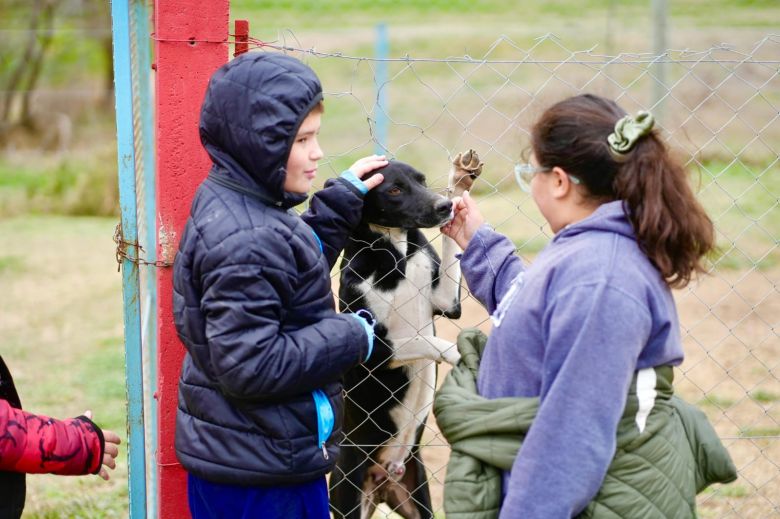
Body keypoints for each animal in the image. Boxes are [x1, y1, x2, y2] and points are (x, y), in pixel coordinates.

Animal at [328, 149, 482, 519]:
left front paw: (459, 181)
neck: (395, 253)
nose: (444, 206)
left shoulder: (446, 301)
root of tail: (385, 477)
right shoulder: (372, 351)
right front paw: (458, 352)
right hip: (347, 494)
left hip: (418, 495)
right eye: (395, 190)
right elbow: (422, 339)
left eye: (422, 180)